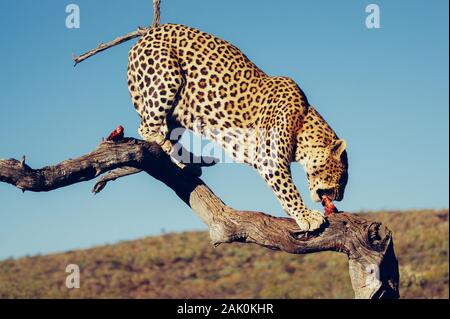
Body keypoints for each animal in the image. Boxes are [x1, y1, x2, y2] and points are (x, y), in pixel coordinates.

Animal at [126, 23, 348, 232]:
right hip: (167, 78)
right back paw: (164, 143)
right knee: (146, 128)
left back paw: (187, 162)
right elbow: (287, 189)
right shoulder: (270, 160)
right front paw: (306, 216)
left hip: (177, 113)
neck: (304, 126)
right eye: (343, 178)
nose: (340, 198)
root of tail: (140, 41)